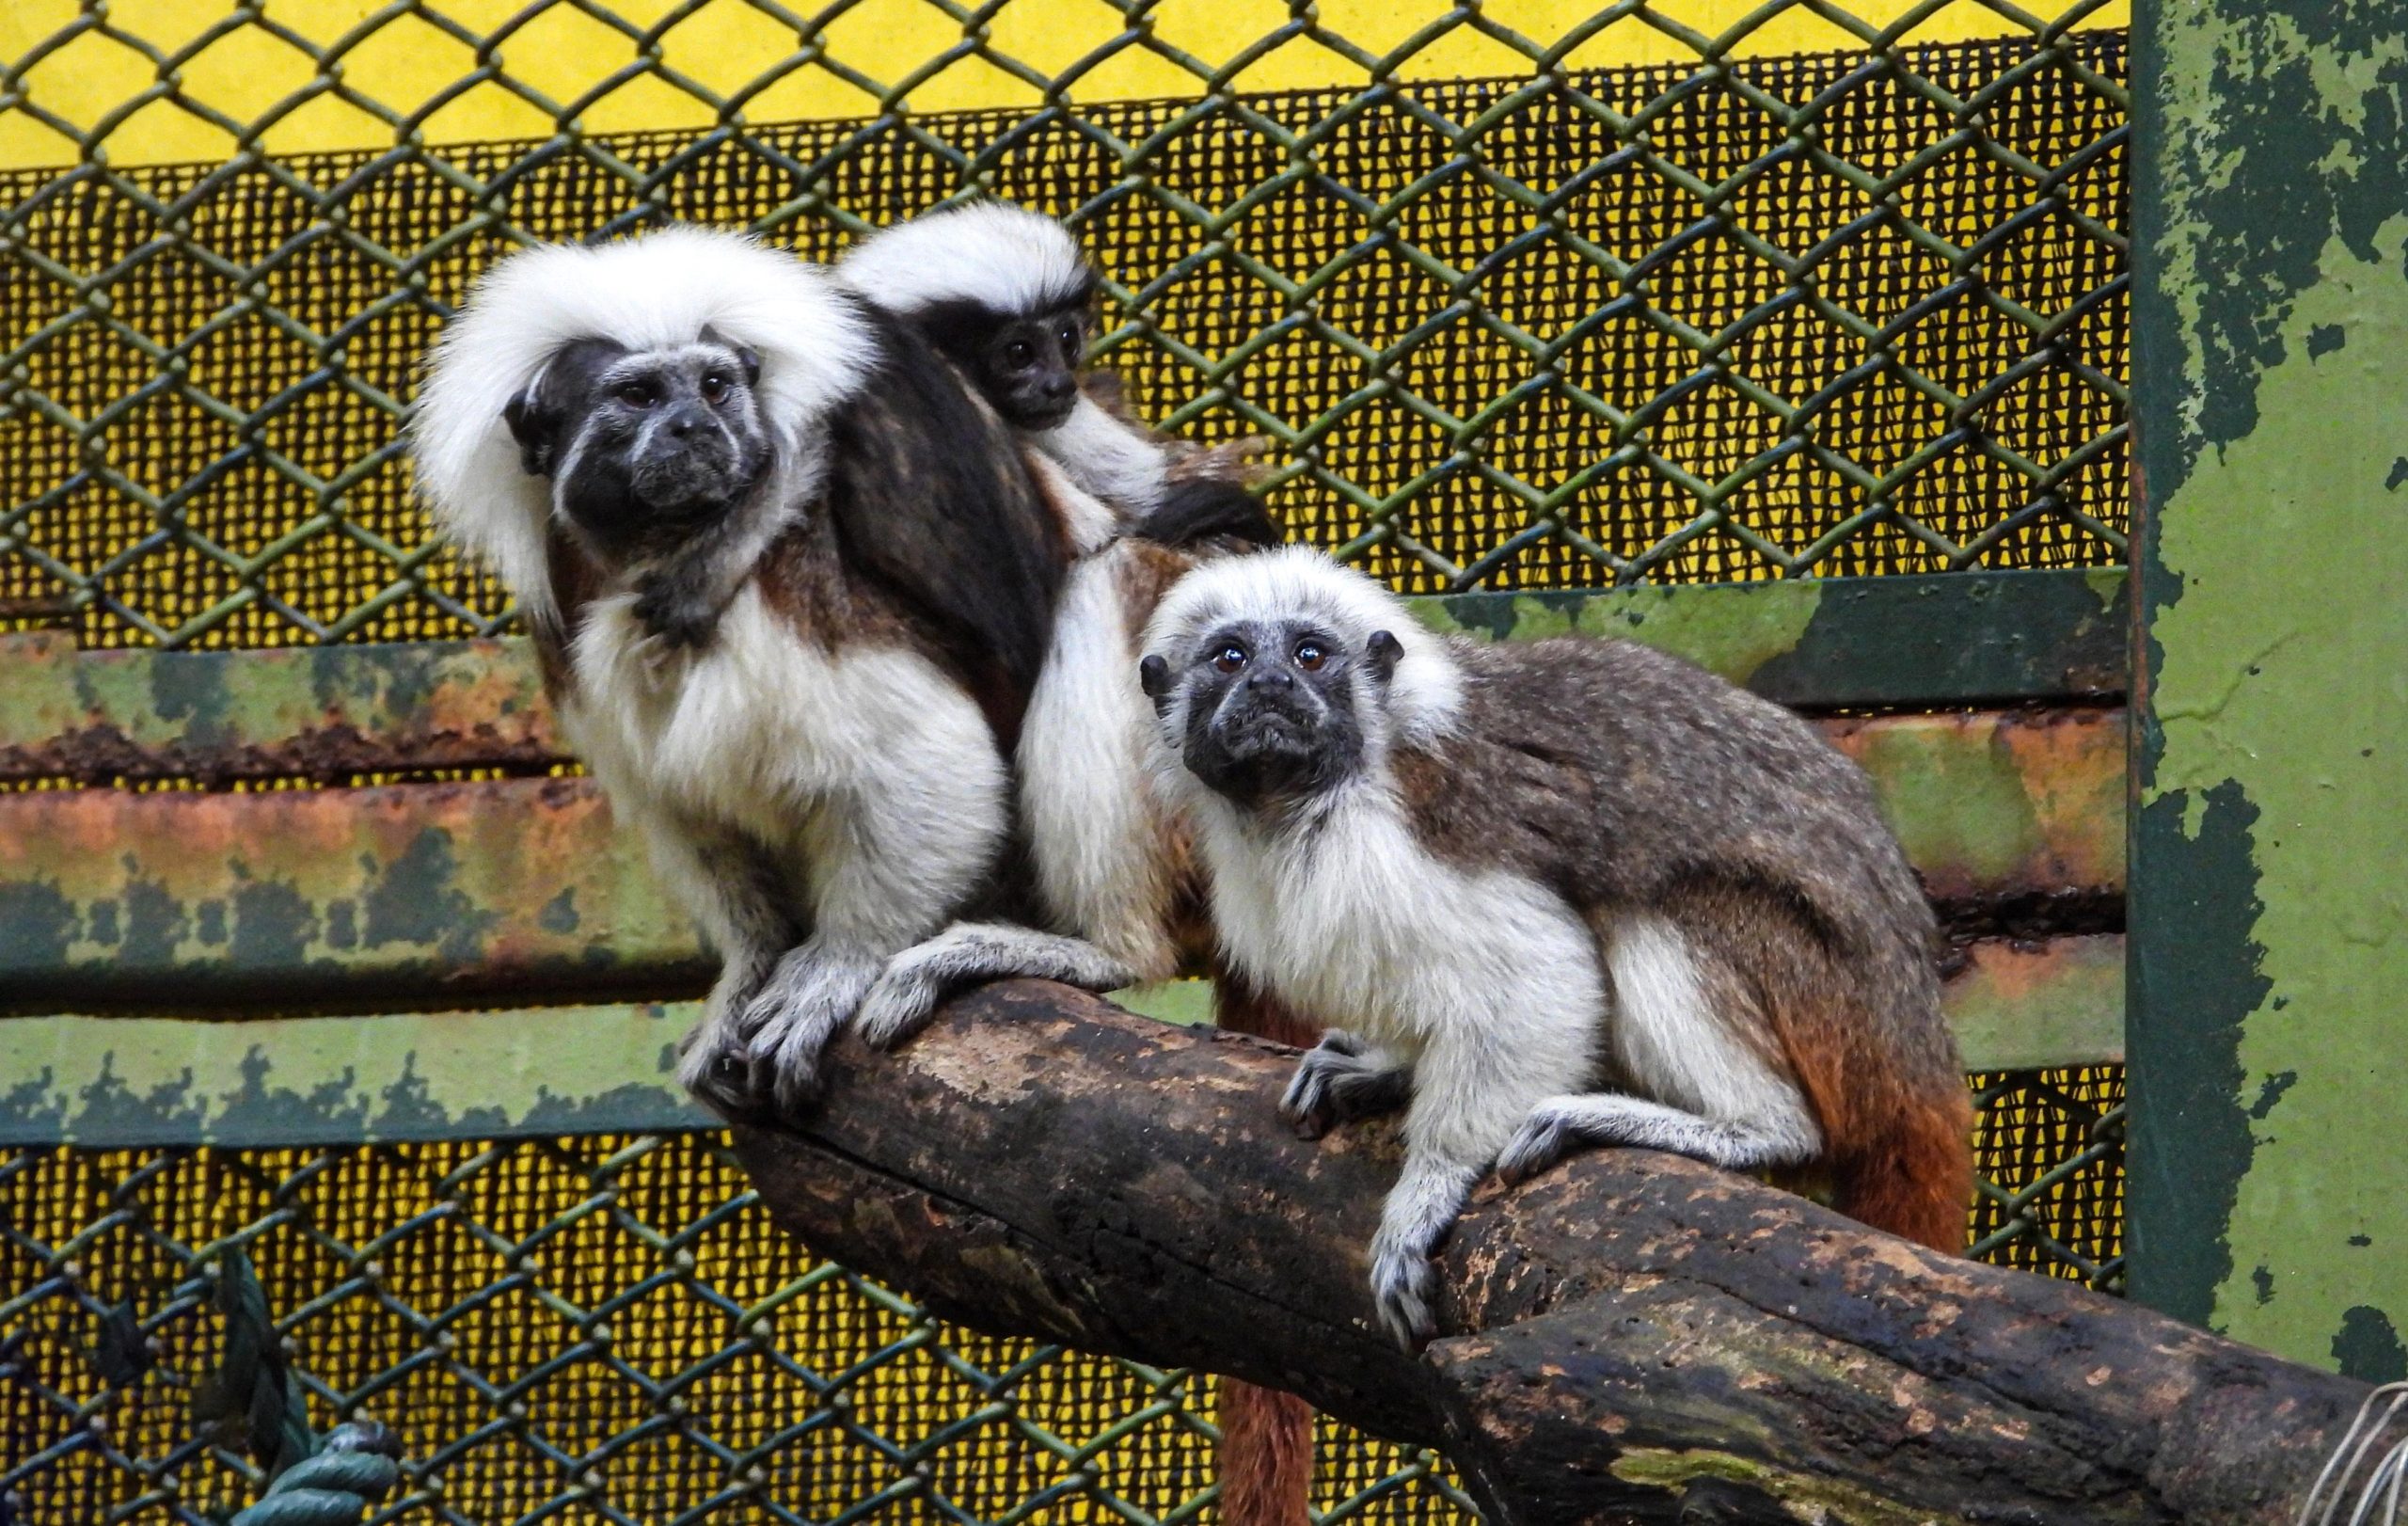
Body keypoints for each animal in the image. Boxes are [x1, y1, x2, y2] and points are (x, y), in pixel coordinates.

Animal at [1136, 544, 1964, 1338]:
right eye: (1230, 658)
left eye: (1309, 655)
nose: (1272, 685)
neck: (1302, 798)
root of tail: (1916, 1046)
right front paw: (1384, 1066)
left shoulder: (1412, 839)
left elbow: (1537, 977)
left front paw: (1428, 1190)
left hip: (1828, 1004)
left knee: (1655, 911)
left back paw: (1747, 1129)